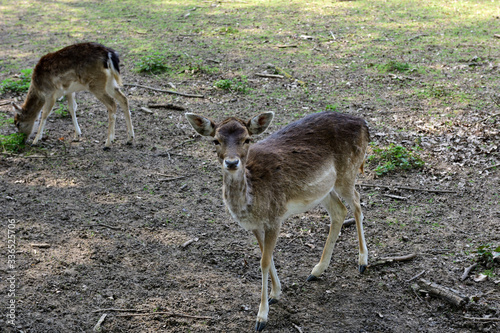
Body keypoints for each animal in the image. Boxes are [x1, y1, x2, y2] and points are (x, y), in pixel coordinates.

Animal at [186, 111, 370, 330]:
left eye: (247, 139)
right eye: (216, 140)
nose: (231, 163)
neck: (250, 203)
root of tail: (364, 124)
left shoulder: (275, 217)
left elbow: (264, 262)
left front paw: (262, 317)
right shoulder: (255, 225)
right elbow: (267, 256)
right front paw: (275, 293)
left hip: (347, 172)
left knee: (357, 203)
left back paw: (362, 262)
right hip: (323, 190)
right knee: (340, 211)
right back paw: (317, 270)